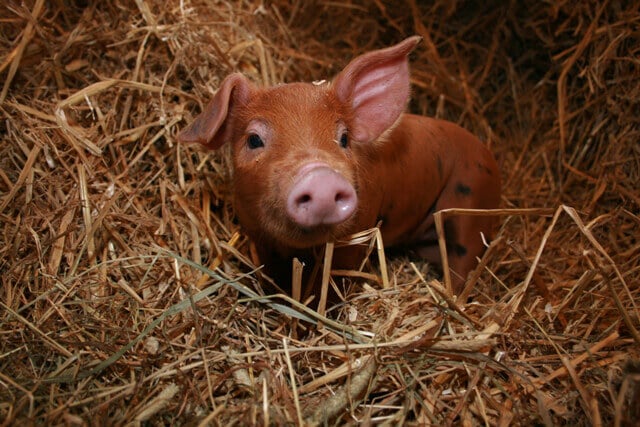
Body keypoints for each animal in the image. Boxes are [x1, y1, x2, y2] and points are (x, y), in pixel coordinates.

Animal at [178, 36, 501, 296]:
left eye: (343, 138)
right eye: (254, 139)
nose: (320, 177)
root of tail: (487, 153)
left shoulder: (357, 236)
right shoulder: (255, 234)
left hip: (472, 208)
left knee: (462, 264)